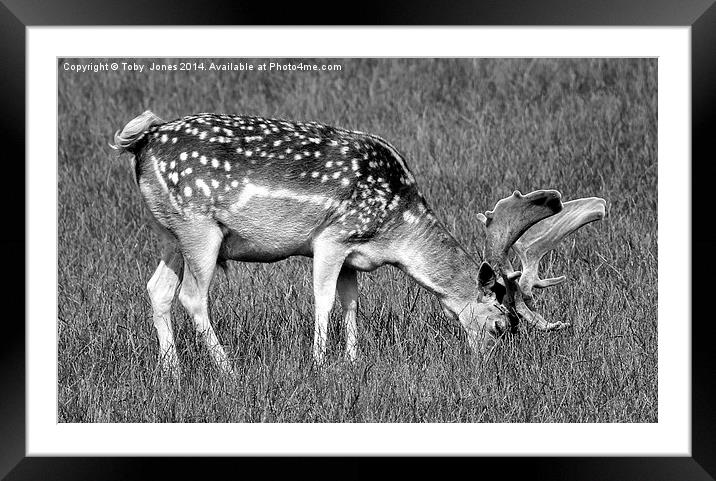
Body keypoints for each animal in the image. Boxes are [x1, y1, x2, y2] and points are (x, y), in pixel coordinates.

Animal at [110, 109, 604, 376]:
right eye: (501, 325)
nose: (490, 365)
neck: (393, 232)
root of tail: (142, 142)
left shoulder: (353, 255)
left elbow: (351, 303)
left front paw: (351, 360)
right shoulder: (332, 237)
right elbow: (324, 299)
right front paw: (318, 364)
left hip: (168, 232)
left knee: (157, 289)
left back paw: (172, 370)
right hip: (200, 227)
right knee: (193, 295)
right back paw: (228, 369)